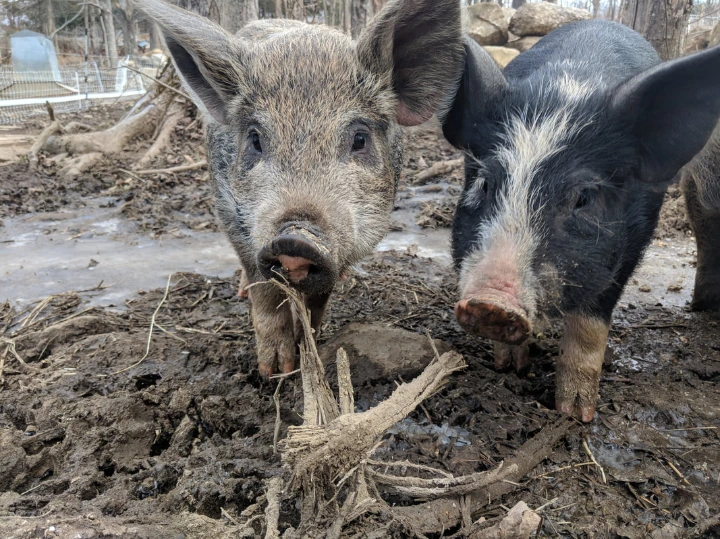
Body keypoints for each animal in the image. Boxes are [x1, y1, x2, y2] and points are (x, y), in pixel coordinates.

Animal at [139, 0, 464, 375]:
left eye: (360, 139)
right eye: (255, 139)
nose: (295, 237)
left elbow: (318, 299)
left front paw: (308, 344)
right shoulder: (231, 216)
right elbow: (265, 291)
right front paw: (274, 370)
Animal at [441, 20, 720, 421]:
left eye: (583, 198)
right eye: (484, 183)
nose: (490, 303)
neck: (566, 89)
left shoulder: (634, 239)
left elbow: (590, 323)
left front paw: (574, 414)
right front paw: (509, 368)